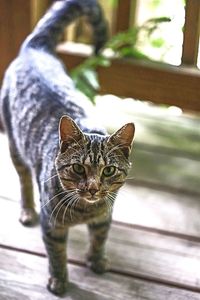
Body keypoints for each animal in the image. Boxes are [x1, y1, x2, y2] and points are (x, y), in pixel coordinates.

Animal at [0, 0, 134, 296]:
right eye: (78, 168)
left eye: (108, 171)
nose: (93, 188)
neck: (85, 211)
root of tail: (35, 47)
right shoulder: (53, 227)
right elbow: (57, 255)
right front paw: (59, 280)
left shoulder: (104, 217)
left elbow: (100, 238)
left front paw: (96, 259)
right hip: (15, 146)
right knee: (24, 181)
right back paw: (27, 210)